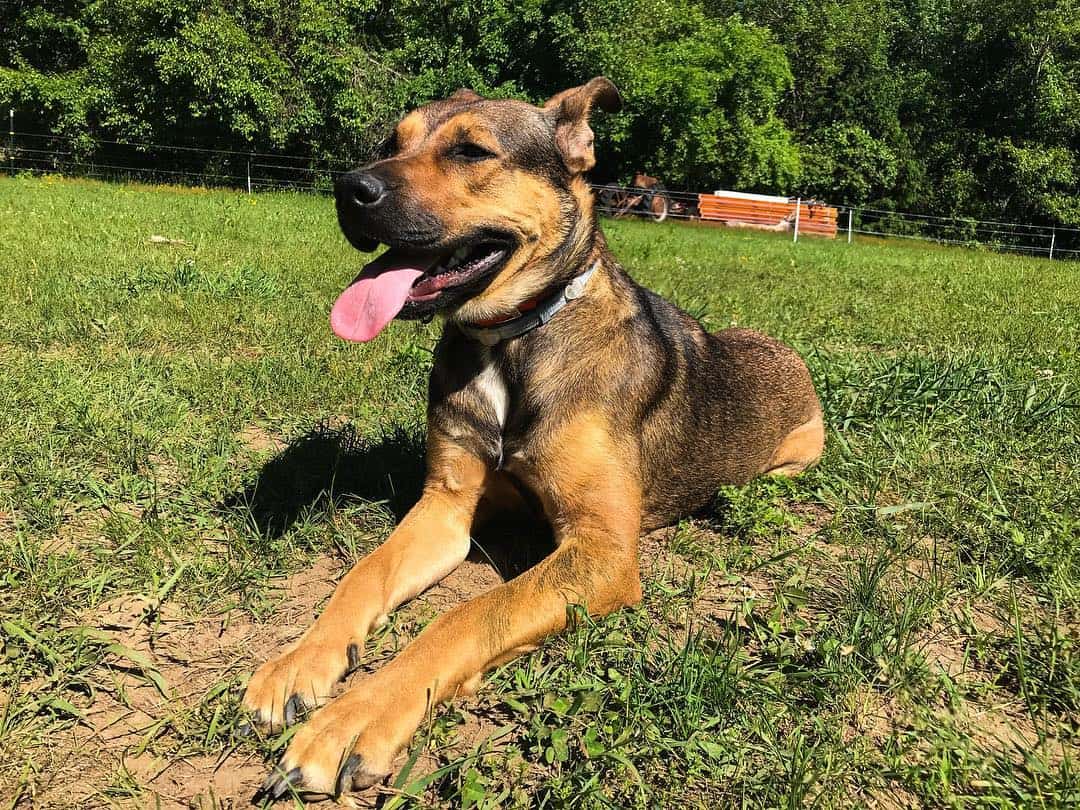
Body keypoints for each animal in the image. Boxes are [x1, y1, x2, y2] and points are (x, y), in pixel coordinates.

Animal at [243, 79, 816, 803]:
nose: (349, 187)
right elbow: (363, 574)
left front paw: (355, 718)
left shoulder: (601, 551)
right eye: (390, 143)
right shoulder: (446, 507)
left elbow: (465, 616)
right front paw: (299, 662)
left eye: (470, 151)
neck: (511, 342)